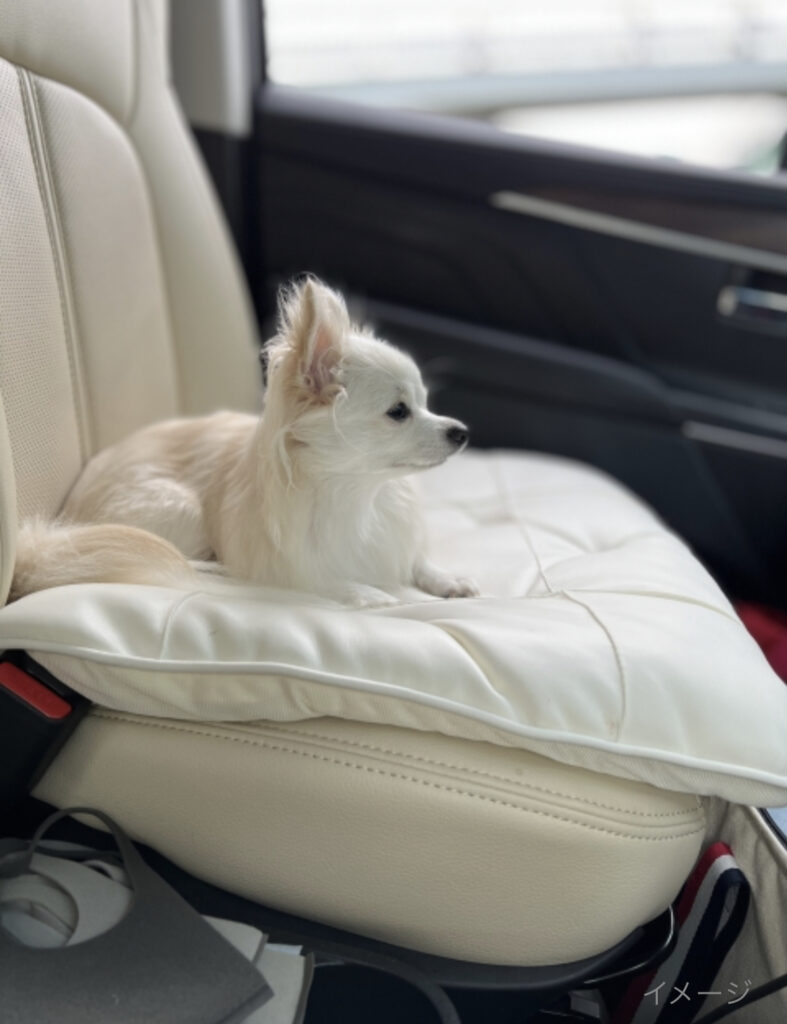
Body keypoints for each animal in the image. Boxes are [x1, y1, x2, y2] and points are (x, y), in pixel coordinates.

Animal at [11, 279, 478, 607]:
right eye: (399, 412)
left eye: (426, 404)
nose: (461, 431)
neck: (357, 493)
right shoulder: (281, 566)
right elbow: (321, 579)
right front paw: (365, 592)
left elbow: (416, 560)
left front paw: (448, 578)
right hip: (180, 507)